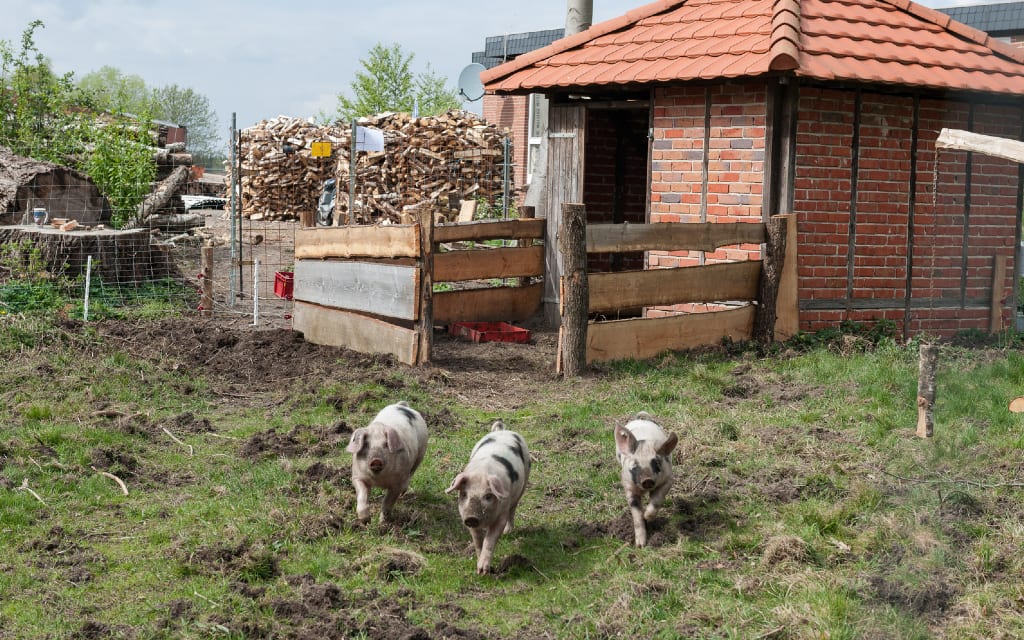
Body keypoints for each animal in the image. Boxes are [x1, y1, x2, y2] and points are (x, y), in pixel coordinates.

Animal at [446, 419, 532, 573]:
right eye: (464, 494)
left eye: (488, 496)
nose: (472, 517)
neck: (481, 472)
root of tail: (502, 431)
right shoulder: (466, 516)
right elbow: (477, 540)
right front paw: (479, 568)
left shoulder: (501, 515)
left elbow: (490, 540)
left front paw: (483, 571)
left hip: (525, 478)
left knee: (513, 508)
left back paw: (508, 532)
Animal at [614, 411, 679, 544]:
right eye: (634, 464)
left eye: (656, 463)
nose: (647, 480)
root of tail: (641, 419)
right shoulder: (628, 485)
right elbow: (636, 513)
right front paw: (640, 544)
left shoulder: (668, 479)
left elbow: (656, 499)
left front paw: (647, 517)